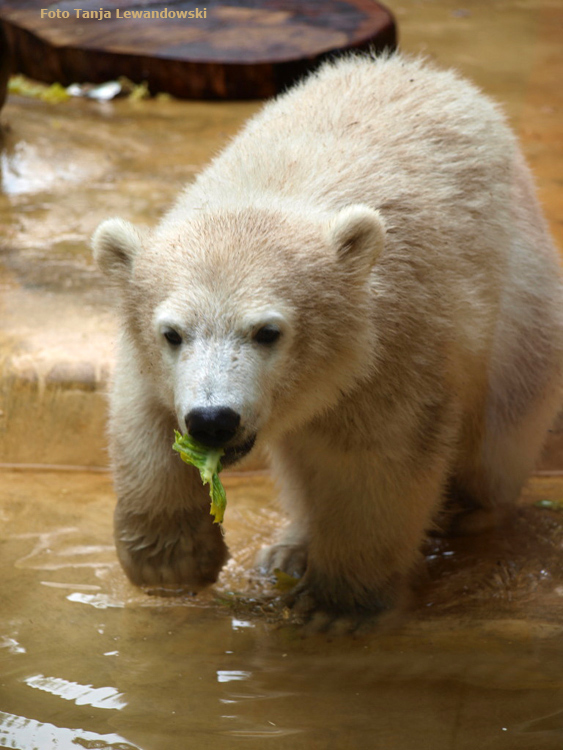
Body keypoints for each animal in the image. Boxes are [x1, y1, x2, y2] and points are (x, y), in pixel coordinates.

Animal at [92, 53, 563, 616]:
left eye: (268, 332)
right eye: (172, 334)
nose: (213, 421)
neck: (270, 192)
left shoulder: (394, 343)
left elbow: (380, 459)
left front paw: (336, 605)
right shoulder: (147, 356)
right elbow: (145, 422)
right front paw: (172, 560)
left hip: (520, 317)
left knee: (500, 436)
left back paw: (465, 514)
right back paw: (289, 548)